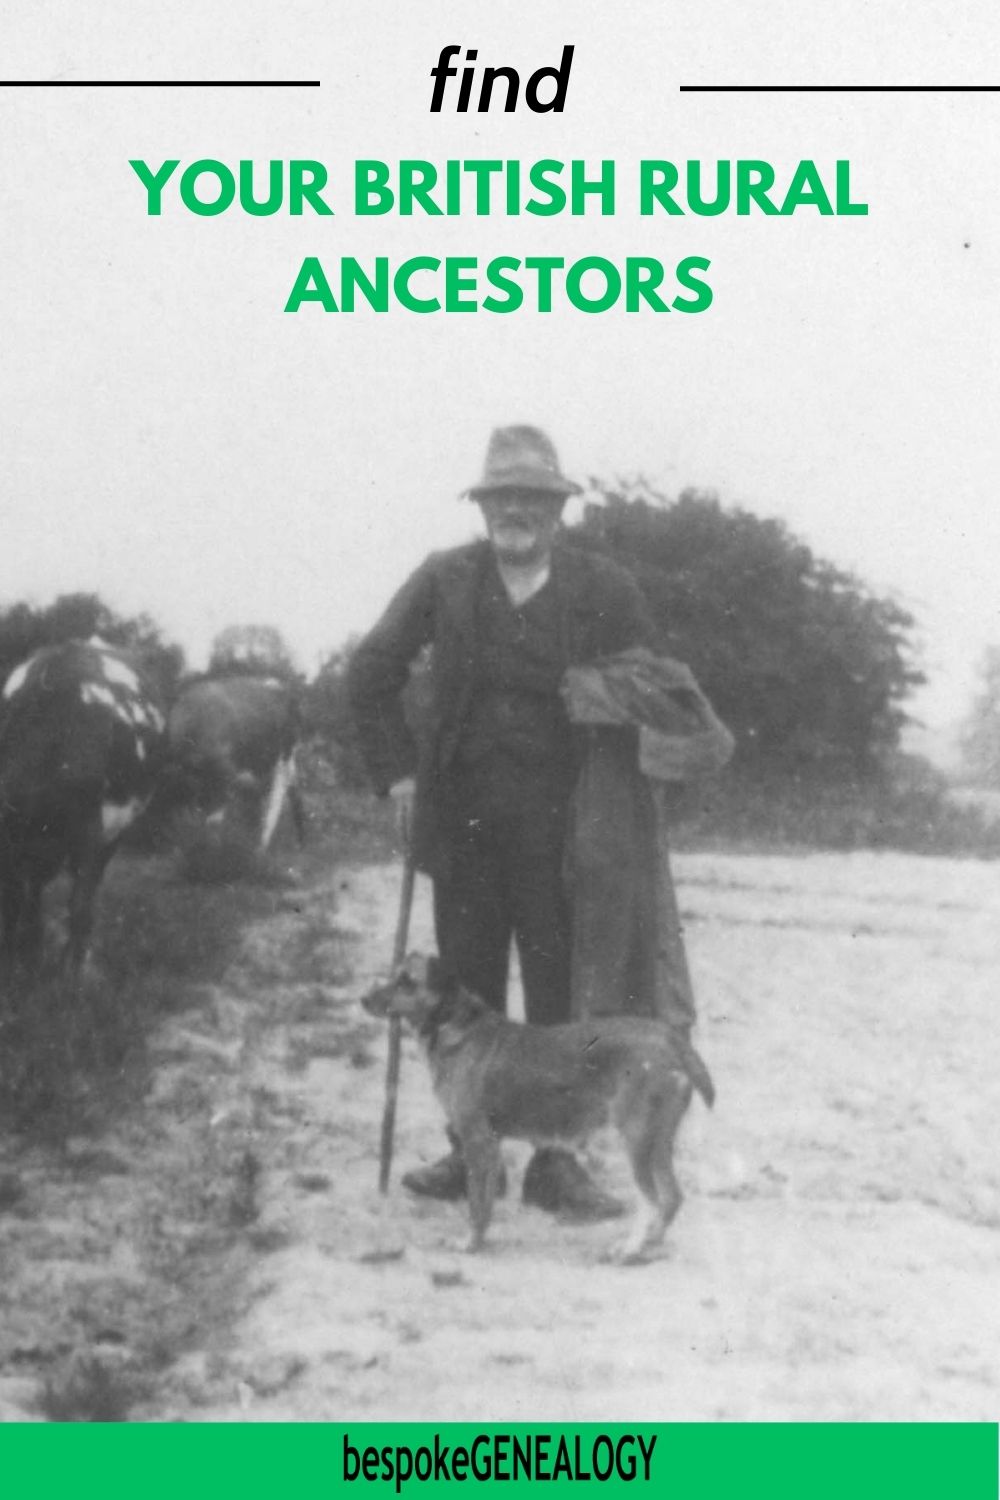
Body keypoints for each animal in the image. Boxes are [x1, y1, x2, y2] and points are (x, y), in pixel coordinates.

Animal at [0, 639, 166, 978]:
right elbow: (23, 898)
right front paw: (24, 958)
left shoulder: (90, 830)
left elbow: (77, 905)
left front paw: (69, 974)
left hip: (116, 831)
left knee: (87, 892)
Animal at [359, 954, 710, 1260]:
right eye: (394, 973)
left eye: (407, 981)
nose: (363, 999)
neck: (456, 1024)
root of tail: (669, 1039)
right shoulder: (490, 1144)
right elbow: (486, 1202)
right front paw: (479, 1240)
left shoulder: (477, 1140)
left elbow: (476, 1203)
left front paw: (469, 1243)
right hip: (658, 1140)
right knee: (672, 1196)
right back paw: (651, 1241)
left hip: (636, 1139)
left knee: (651, 1199)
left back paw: (629, 1248)